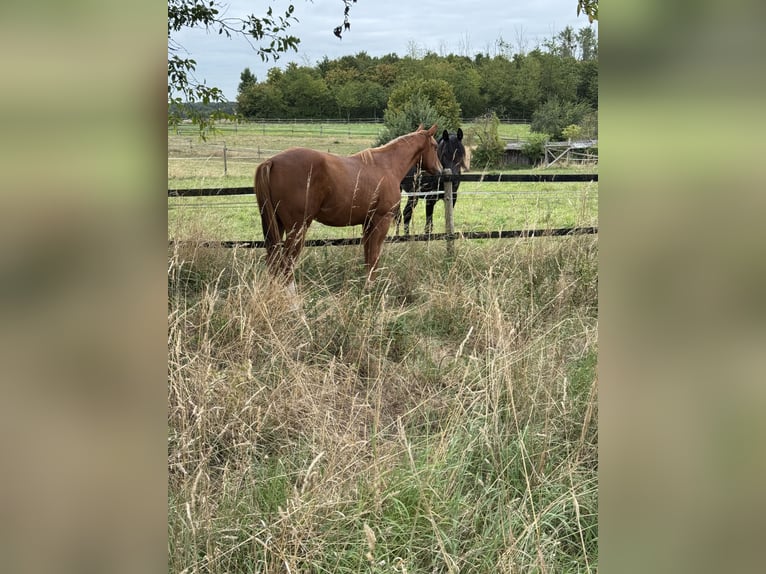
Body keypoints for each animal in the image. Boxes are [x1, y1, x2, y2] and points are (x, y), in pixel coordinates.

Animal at [255, 124, 442, 287]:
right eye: (434, 146)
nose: (440, 170)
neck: (386, 166)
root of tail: (271, 162)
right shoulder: (381, 221)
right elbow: (374, 256)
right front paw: (370, 289)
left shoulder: (368, 223)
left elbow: (368, 256)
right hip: (297, 228)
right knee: (286, 264)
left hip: (276, 225)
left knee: (273, 261)